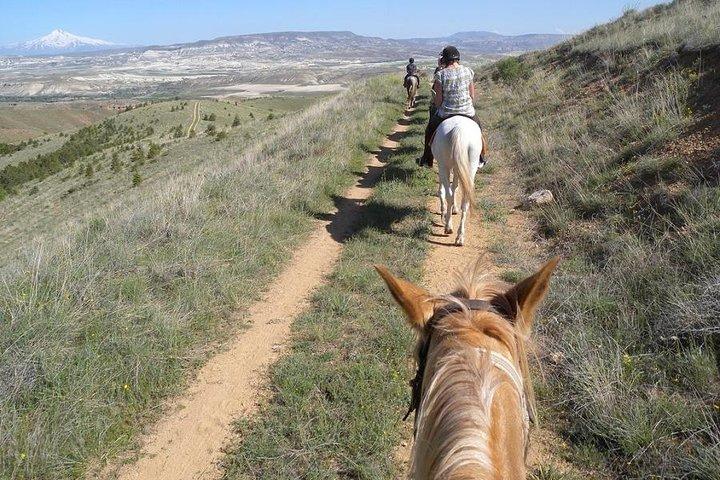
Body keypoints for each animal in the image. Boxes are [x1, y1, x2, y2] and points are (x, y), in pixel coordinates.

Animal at [431, 116, 483, 246]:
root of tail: (459, 129)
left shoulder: (445, 166)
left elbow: (446, 189)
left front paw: (444, 213)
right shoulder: (458, 167)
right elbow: (455, 185)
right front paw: (454, 209)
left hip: (444, 166)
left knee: (448, 194)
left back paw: (448, 227)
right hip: (470, 166)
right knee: (465, 199)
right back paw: (460, 237)